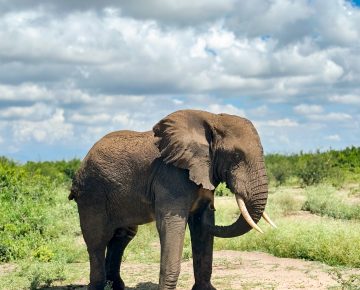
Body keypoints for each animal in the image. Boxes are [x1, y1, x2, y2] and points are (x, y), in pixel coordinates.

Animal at [69, 109, 274, 290]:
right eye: (237, 155)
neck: (212, 118)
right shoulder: (171, 177)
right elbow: (172, 225)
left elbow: (202, 226)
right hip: (91, 194)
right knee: (97, 240)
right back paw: (97, 286)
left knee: (122, 237)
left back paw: (116, 286)